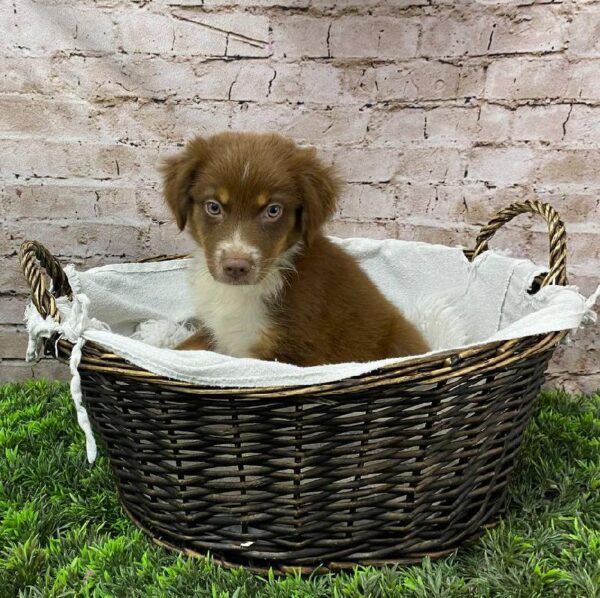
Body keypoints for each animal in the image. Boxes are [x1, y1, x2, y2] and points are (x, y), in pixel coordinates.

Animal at [159, 132, 426, 366]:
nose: (236, 267)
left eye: (273, 210)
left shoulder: (297, 352)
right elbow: (183, 349)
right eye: (213, 207)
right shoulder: (215, 332)